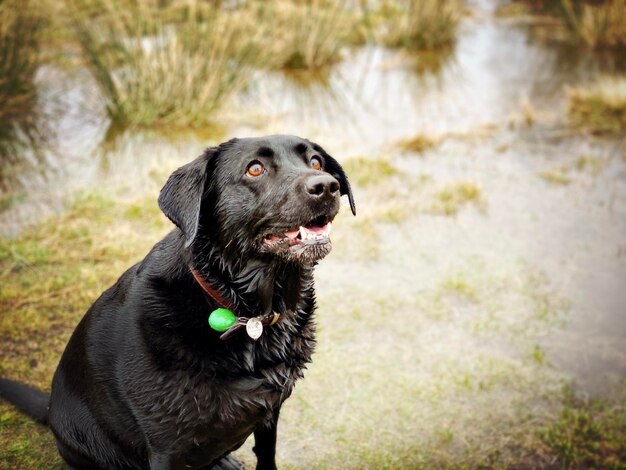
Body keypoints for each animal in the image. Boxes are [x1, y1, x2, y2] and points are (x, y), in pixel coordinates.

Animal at [0, 134, 352, 468]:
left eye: (316, 162)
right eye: (255, 169)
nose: (326, 186)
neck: (243, 308)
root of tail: (50, 410)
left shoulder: (270, 412)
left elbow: (267, 456)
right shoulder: (166, 446)